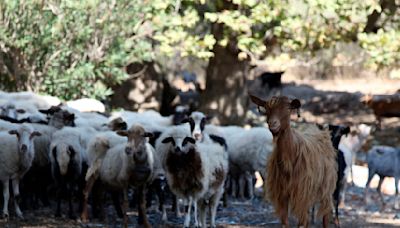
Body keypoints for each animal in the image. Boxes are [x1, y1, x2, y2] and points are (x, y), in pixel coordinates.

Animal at [250, 95, 338, 228]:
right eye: (266, 108)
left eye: (288, 109)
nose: (272, 124)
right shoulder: (282, 195)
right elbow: (285, 223)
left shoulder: (301, 193)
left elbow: (302, 223)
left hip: (326, 188)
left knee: (325, 214)